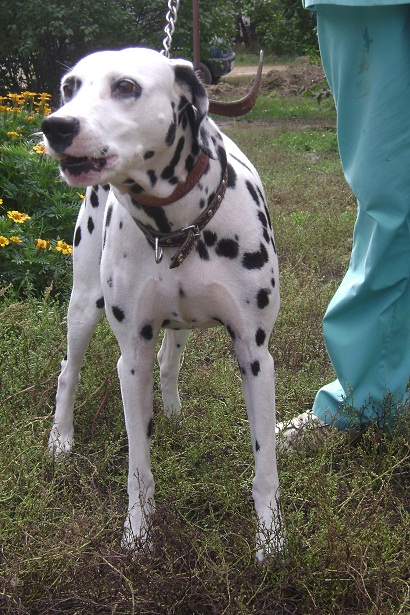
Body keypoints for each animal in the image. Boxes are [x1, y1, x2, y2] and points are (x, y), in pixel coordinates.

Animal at [42, 47, 282, 561]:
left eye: (126, 86)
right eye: (70, 87)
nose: (57, 126)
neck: (179, 225)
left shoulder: (255, 356)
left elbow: (265, 467)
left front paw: (272, 542)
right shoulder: (131, 358)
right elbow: (139, 466)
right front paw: (137, 532)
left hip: (180, 326)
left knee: (171, 361)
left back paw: (171, 412)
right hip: (83, 305)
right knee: (68, 370)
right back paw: (61, 439)